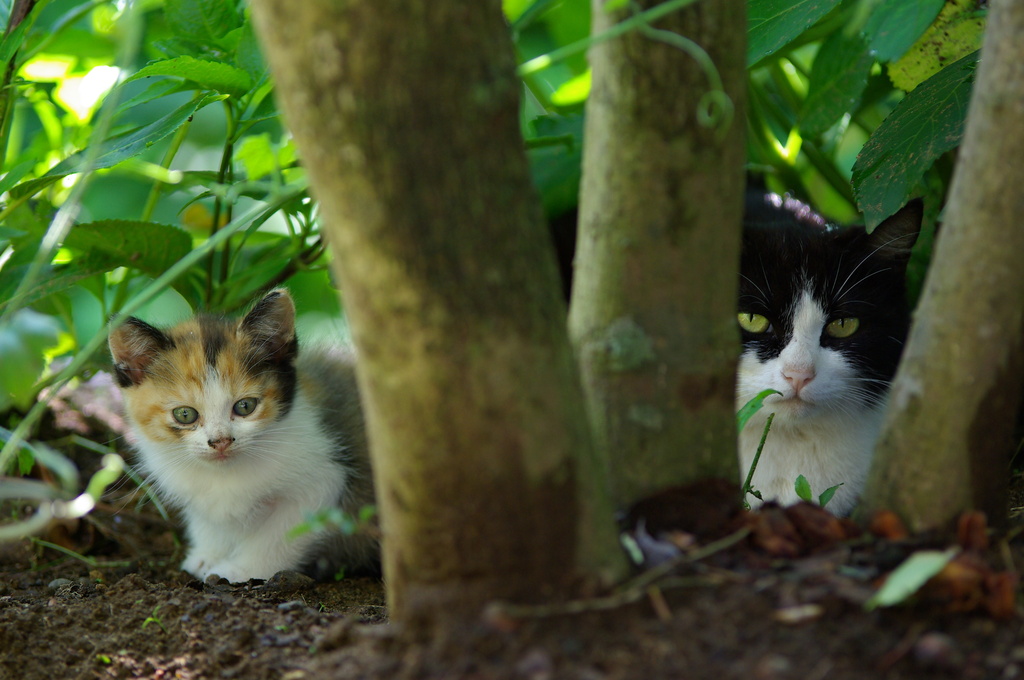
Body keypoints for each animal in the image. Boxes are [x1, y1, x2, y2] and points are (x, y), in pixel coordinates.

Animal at [110, 288, 374, 581]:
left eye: (245, 406)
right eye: (185, 414)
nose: (220, 441)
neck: (225, 474)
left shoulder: (324, 480)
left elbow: (280, 533)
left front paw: (243, 569)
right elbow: (209, 519)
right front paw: (207, 555)